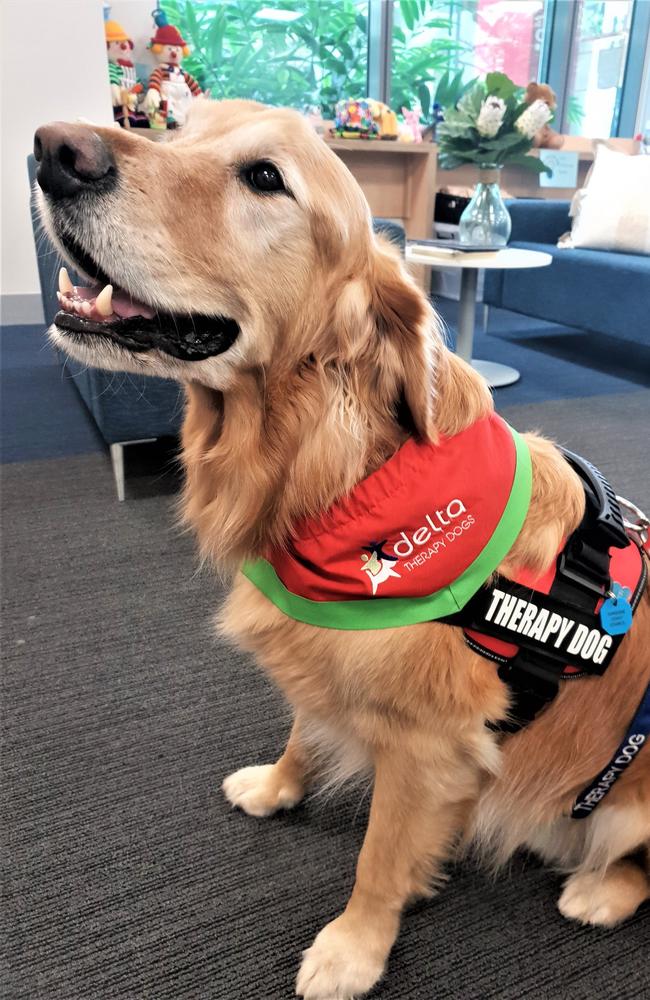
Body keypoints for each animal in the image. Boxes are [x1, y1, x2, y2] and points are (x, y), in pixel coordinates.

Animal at [35, 95, 648, 1000]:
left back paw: (597, 891)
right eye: (180, 130)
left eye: (265, 177)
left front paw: (354, 948)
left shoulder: (429, 748)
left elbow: (379, 860)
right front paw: (278, 785)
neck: (344, 474)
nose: (54, 151)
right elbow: (303, 725)